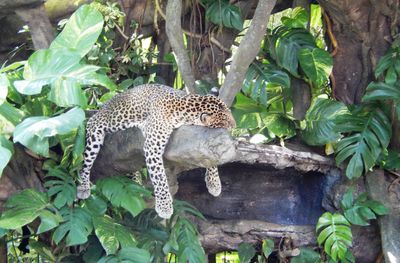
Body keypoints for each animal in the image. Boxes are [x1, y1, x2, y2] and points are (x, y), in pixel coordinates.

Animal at [76, 84, 236, 219]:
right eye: (226, 121)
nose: (235, 125)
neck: (182, 107)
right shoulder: (152, 146)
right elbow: (160, 178)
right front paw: (164, 207)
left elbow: (211, 156)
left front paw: (214, 183)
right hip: (97, 129)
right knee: (85, 165)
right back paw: (83, 187)